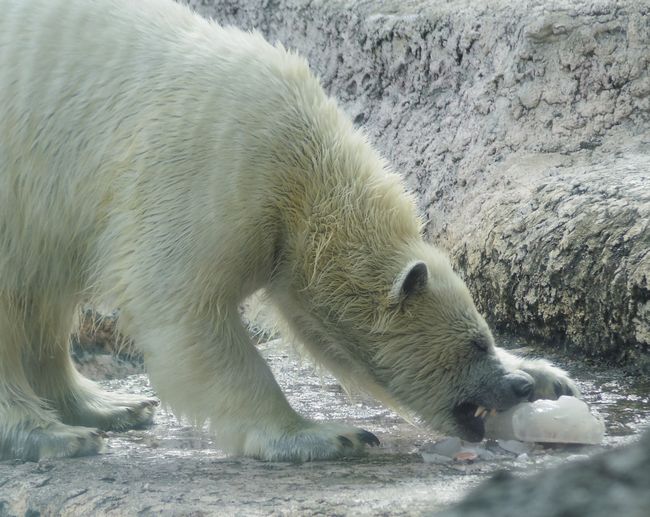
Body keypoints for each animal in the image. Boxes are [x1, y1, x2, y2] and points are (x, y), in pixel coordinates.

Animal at [0, 0, 576, 460]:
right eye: (474, 345)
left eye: (489, 338)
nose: (516, 387)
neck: (306, 164)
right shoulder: (206, 175)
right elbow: (183, 307)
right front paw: (328, 435)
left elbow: (322, 330)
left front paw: (549, 375)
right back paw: (55, 433)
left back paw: (109, 405)